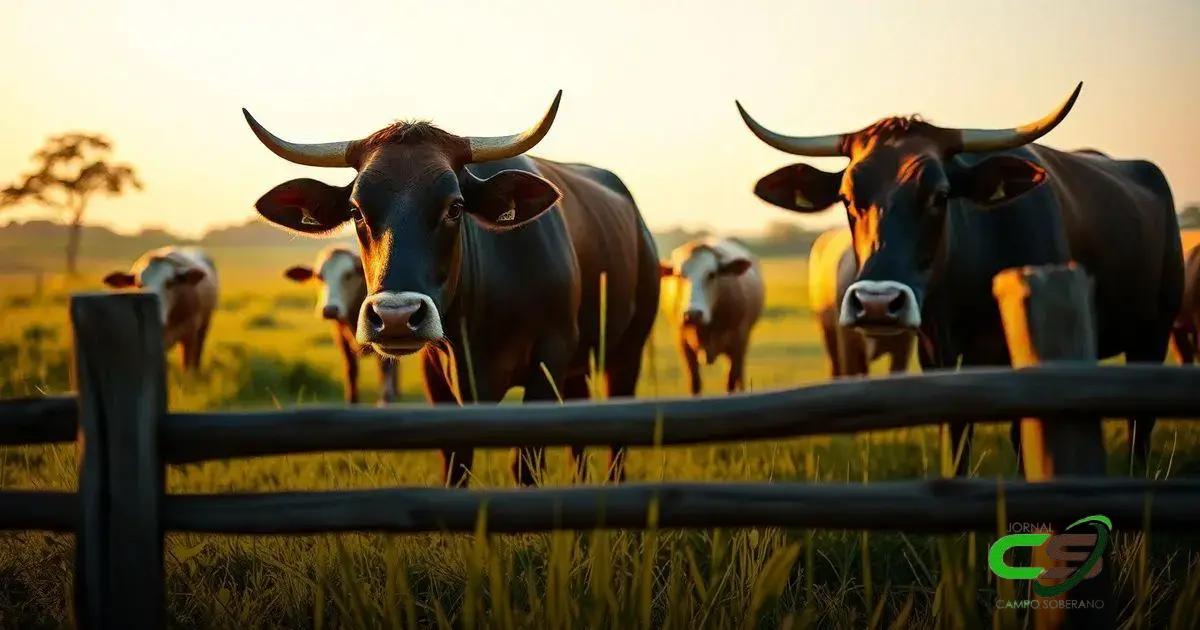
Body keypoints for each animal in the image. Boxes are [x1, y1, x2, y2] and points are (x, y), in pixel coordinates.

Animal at [284, 246, 399, 404]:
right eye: (319, 276)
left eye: (348, 274)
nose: (330, 309)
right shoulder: (342, 340)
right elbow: (351, 372)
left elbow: (385, 372)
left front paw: (386, 399)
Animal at [660, 237, 764, 394]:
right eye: (679, 275)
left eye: (712, 274)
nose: (693, 314)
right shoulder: (683, 344)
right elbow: (695, 383)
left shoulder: (739, 342)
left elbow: (731, 382)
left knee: (740, 375)